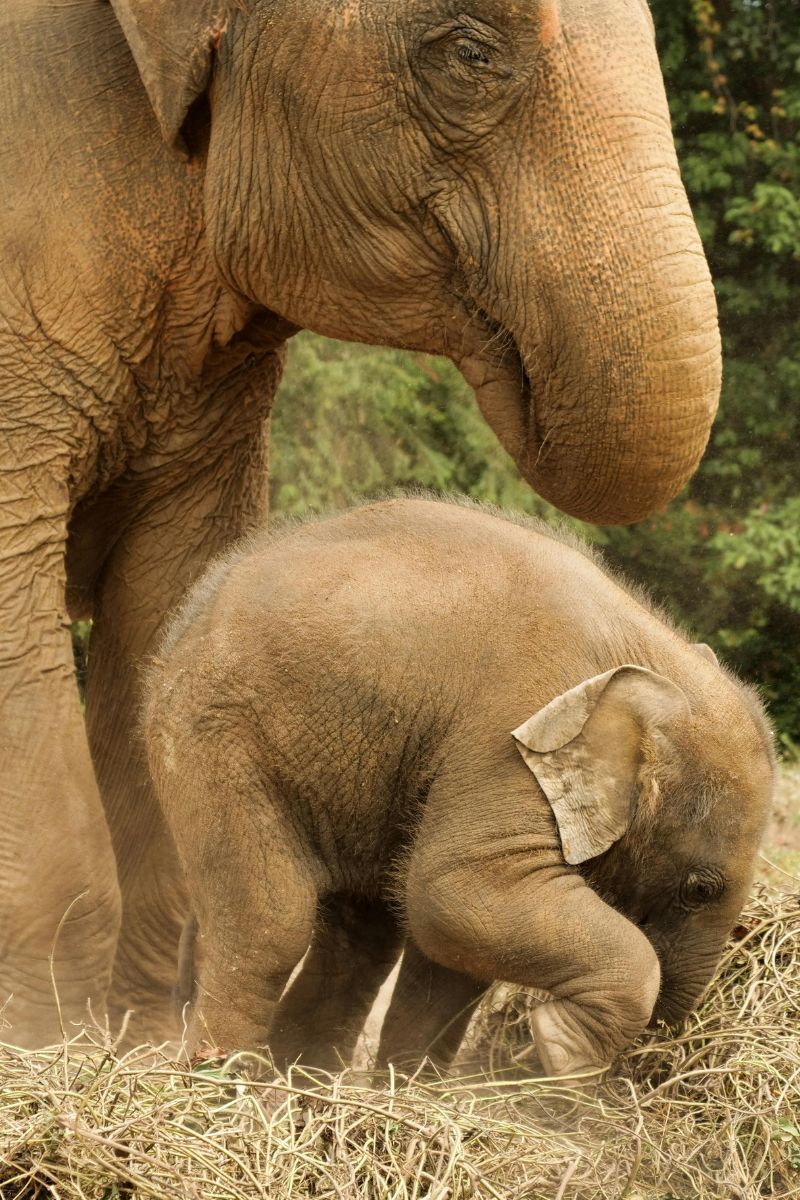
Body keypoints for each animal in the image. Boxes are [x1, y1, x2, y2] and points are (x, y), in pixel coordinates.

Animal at [143, 498, 773, 1077]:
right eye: (700, 889)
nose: (655, 1055)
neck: (648, 653)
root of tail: (184, 623)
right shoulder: (506, 734)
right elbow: (454, 889)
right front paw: (560, 1049)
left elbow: (453, 948)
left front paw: (414, 1089)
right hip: (215, 732)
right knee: (271, 921)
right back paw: (233, 1088)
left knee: (362, 939)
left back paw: (306, 1087)